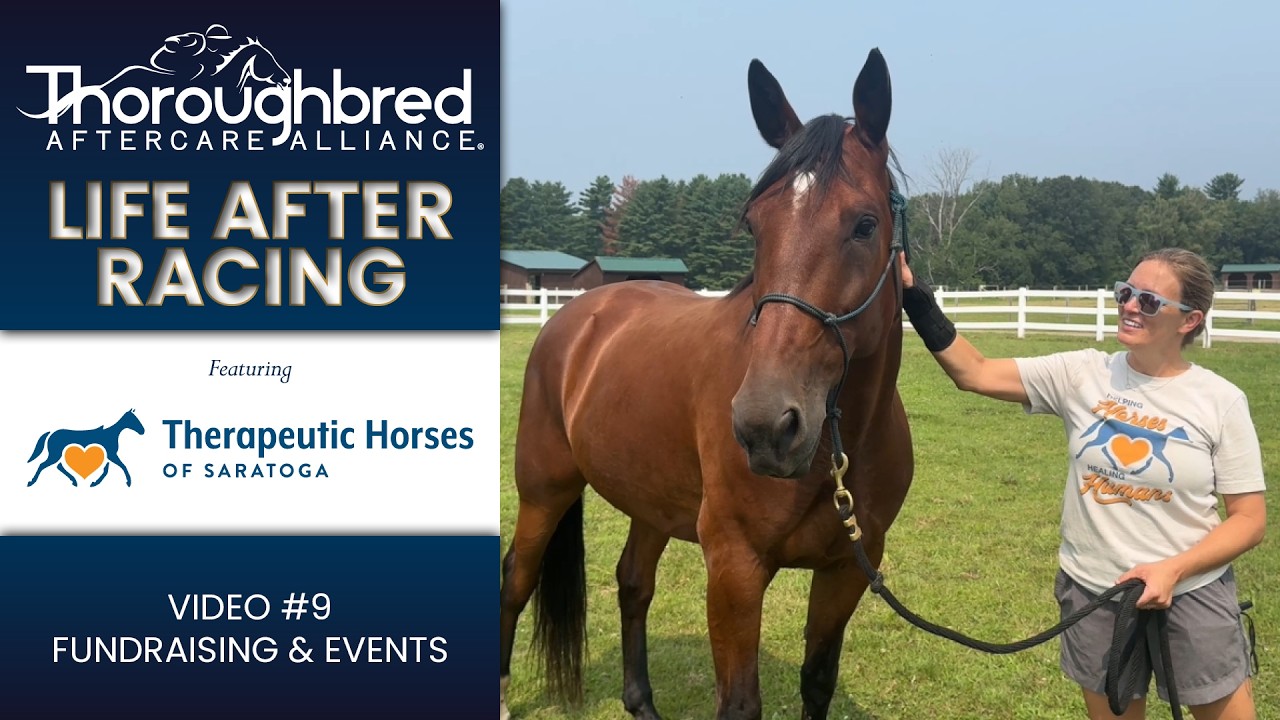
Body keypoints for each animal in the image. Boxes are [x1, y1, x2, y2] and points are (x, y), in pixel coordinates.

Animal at [500, 48, 914, 720]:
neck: (837, 449)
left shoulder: (850, 569)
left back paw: (641, 702)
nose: (766, 425)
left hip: (647, 497)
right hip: (544, 489)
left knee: (632, 583)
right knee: (517, 578)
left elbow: (817, 681)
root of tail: (574, 313)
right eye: (754, 227)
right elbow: (740, 703)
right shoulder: (734, 569)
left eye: (865, 225)